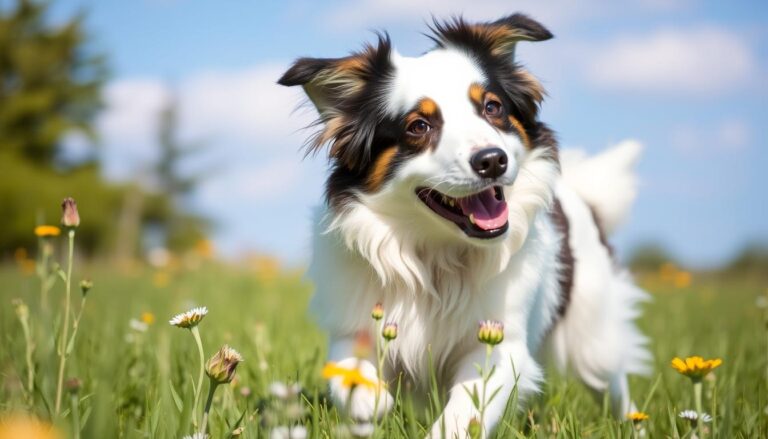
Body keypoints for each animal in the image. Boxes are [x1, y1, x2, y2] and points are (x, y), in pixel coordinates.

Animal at [276, 13, 648, 439]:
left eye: (492, 107)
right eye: (418, 126)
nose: (492, 160)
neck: (437, 255)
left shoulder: (500, 344)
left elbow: (463, 412)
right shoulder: (353, 322)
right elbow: (348, 373)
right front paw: (372, 401)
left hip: (592, 338)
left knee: (615, 385)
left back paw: (634, 425)